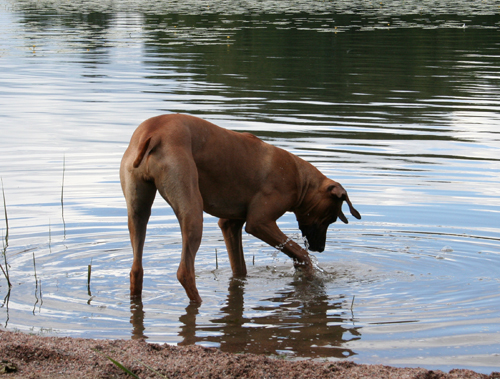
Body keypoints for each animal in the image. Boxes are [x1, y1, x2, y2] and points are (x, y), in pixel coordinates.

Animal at [120, 114, 360, 304]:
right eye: (331, 219)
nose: (320, 248)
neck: (300, 178)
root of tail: (155, 132)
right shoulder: (259, 222)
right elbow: (299, 252)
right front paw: (307, 270)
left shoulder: (230, 224)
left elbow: (240, 267)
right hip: (192, 210)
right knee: (184, 271)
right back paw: (199, 302)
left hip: (138, 210)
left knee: (136, 268)